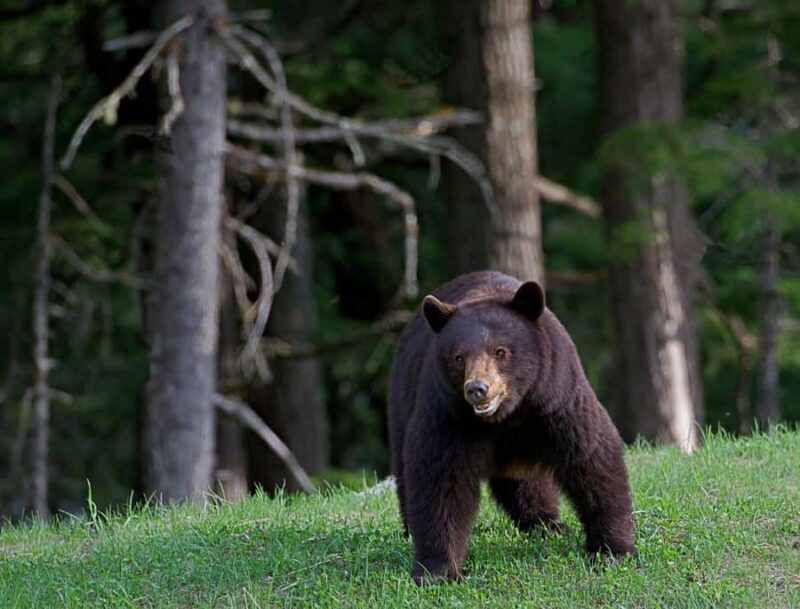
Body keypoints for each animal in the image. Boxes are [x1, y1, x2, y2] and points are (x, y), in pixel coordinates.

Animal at [387, 270, 635, 585]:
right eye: (458, 357)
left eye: (500, 351)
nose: (477, 389)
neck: (508, 415)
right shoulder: (448, 414)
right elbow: (439, 479)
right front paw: (437, 570)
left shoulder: (556, 399)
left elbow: (591, 457)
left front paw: (612, 549)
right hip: (401, 402)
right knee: (405, 471)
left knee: (529, 483)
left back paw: (545, 523)